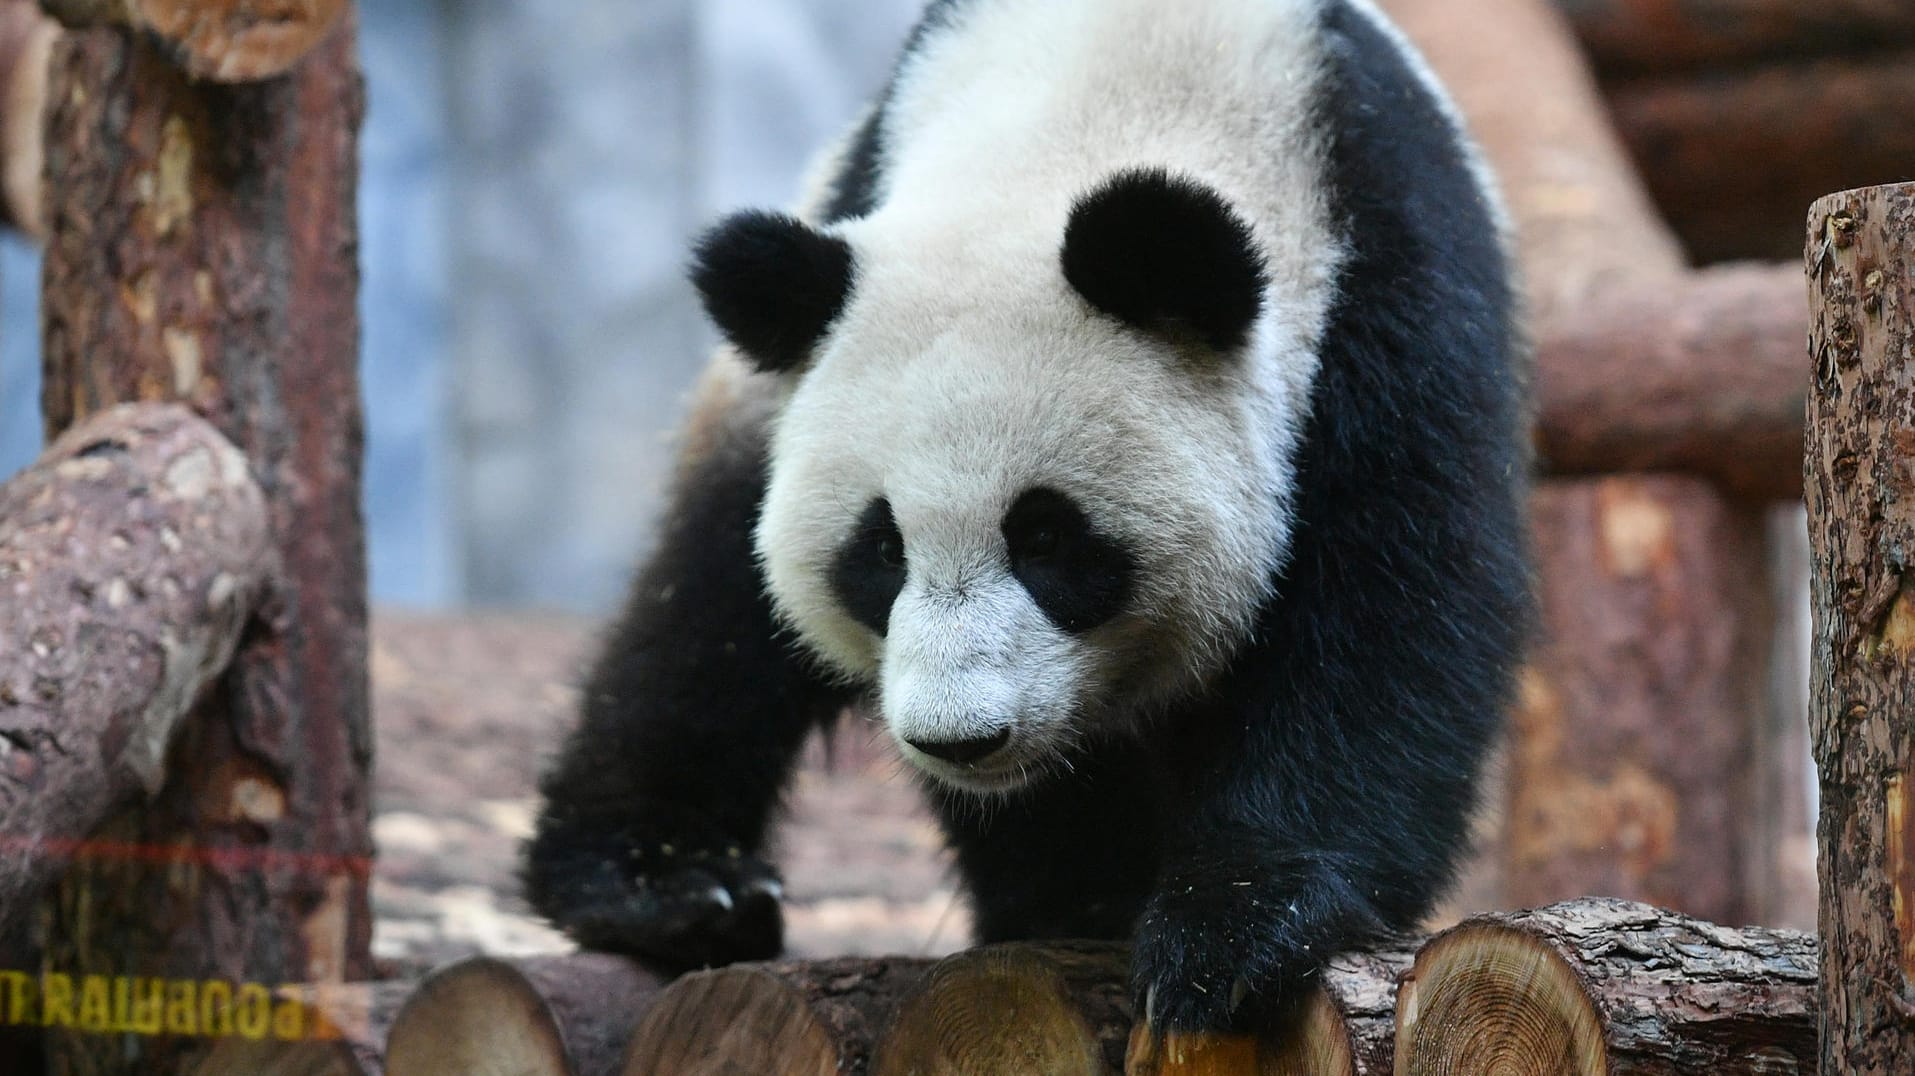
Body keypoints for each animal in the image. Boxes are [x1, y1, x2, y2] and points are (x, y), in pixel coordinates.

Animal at [528, 0, 1524, 1033]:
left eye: (1047, 538)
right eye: (878, 550)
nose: (958, 740)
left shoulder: (1382, 289)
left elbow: (1385, 615)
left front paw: (1234, 933)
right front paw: (1072, 897)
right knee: (704, 608)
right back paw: (667, 885)